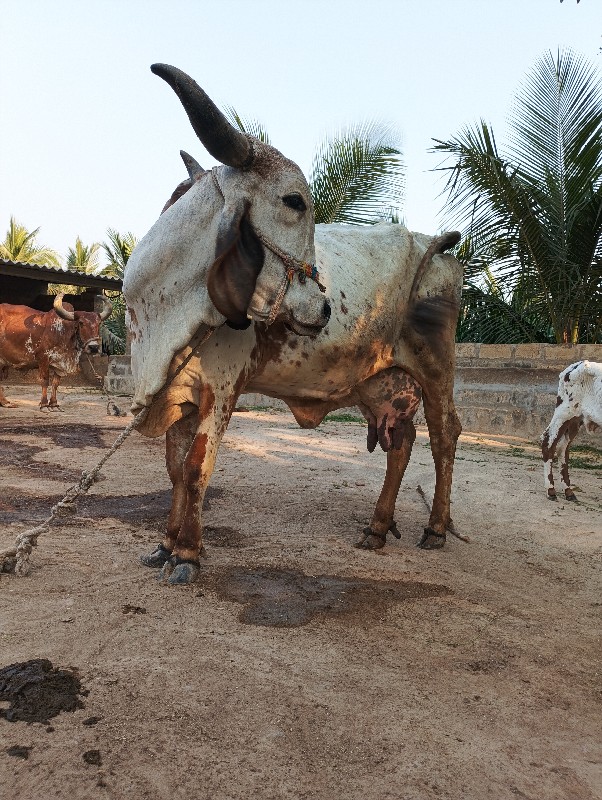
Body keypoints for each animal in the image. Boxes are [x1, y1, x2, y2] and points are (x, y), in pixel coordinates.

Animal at [540, 360, 600, 500]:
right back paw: (551, 489)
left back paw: (568, 490)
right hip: (565, 412)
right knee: (548, 441)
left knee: (562, 448)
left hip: (575, 420)